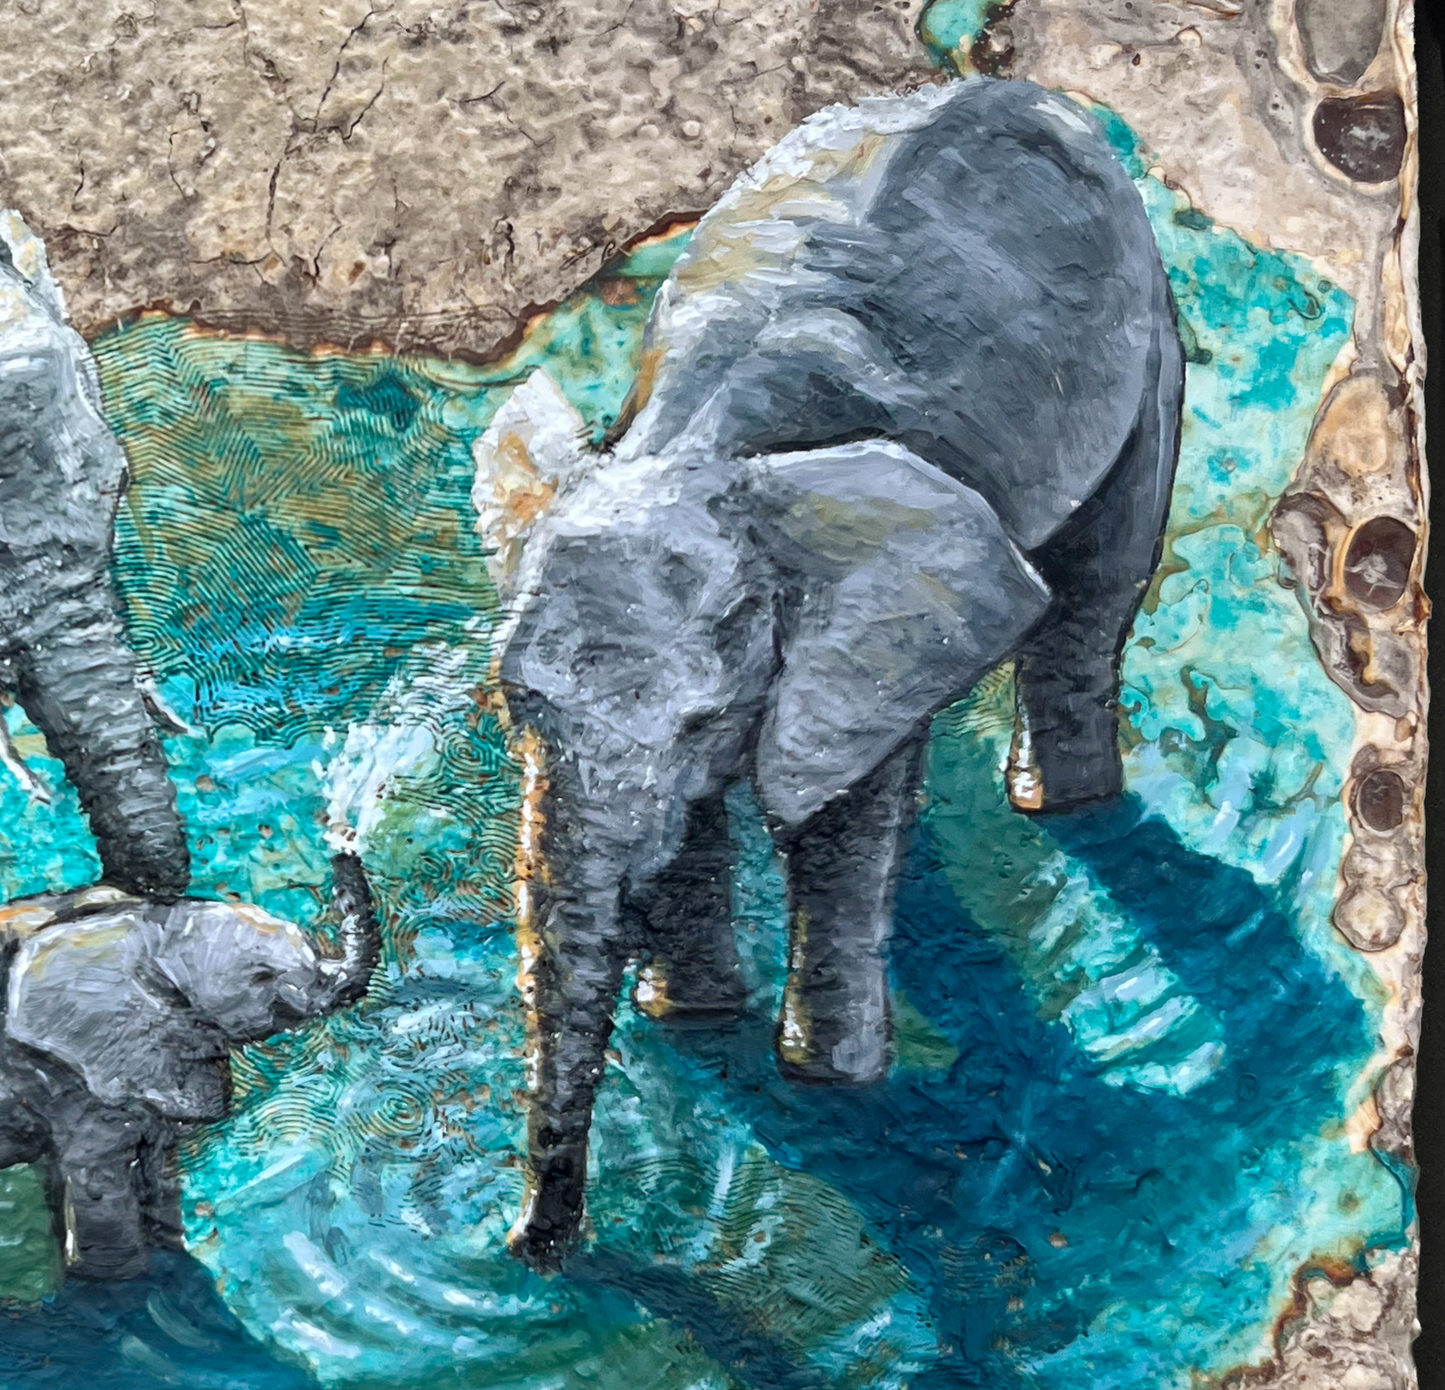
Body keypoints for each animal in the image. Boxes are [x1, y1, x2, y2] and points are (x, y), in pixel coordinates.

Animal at [0, 852, 379, 1280]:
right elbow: (99, 1182)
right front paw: (119, 1279)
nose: (342, 856)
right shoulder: (78, 1075)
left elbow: (158, 1167)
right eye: (261, 975)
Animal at [475, 77, 1185, 1269]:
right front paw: (695, 1022)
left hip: (1148, 339)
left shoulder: (871, 612)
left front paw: (829, 1082)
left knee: (1095, 592)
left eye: (698, 719)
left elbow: (843, 814)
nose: (531, 1246)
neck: (700, 443)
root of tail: (1028, 91)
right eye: (517, 707)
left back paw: (1064, 806)